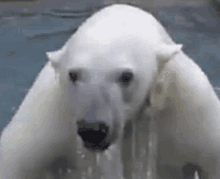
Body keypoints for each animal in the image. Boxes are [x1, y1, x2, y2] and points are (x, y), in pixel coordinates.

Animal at [0, 3, 220, 179]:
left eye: (126, 76)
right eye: (73, 74)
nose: (93, 130)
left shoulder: (192, 105)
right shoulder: (50, 112)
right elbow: (15, 159)